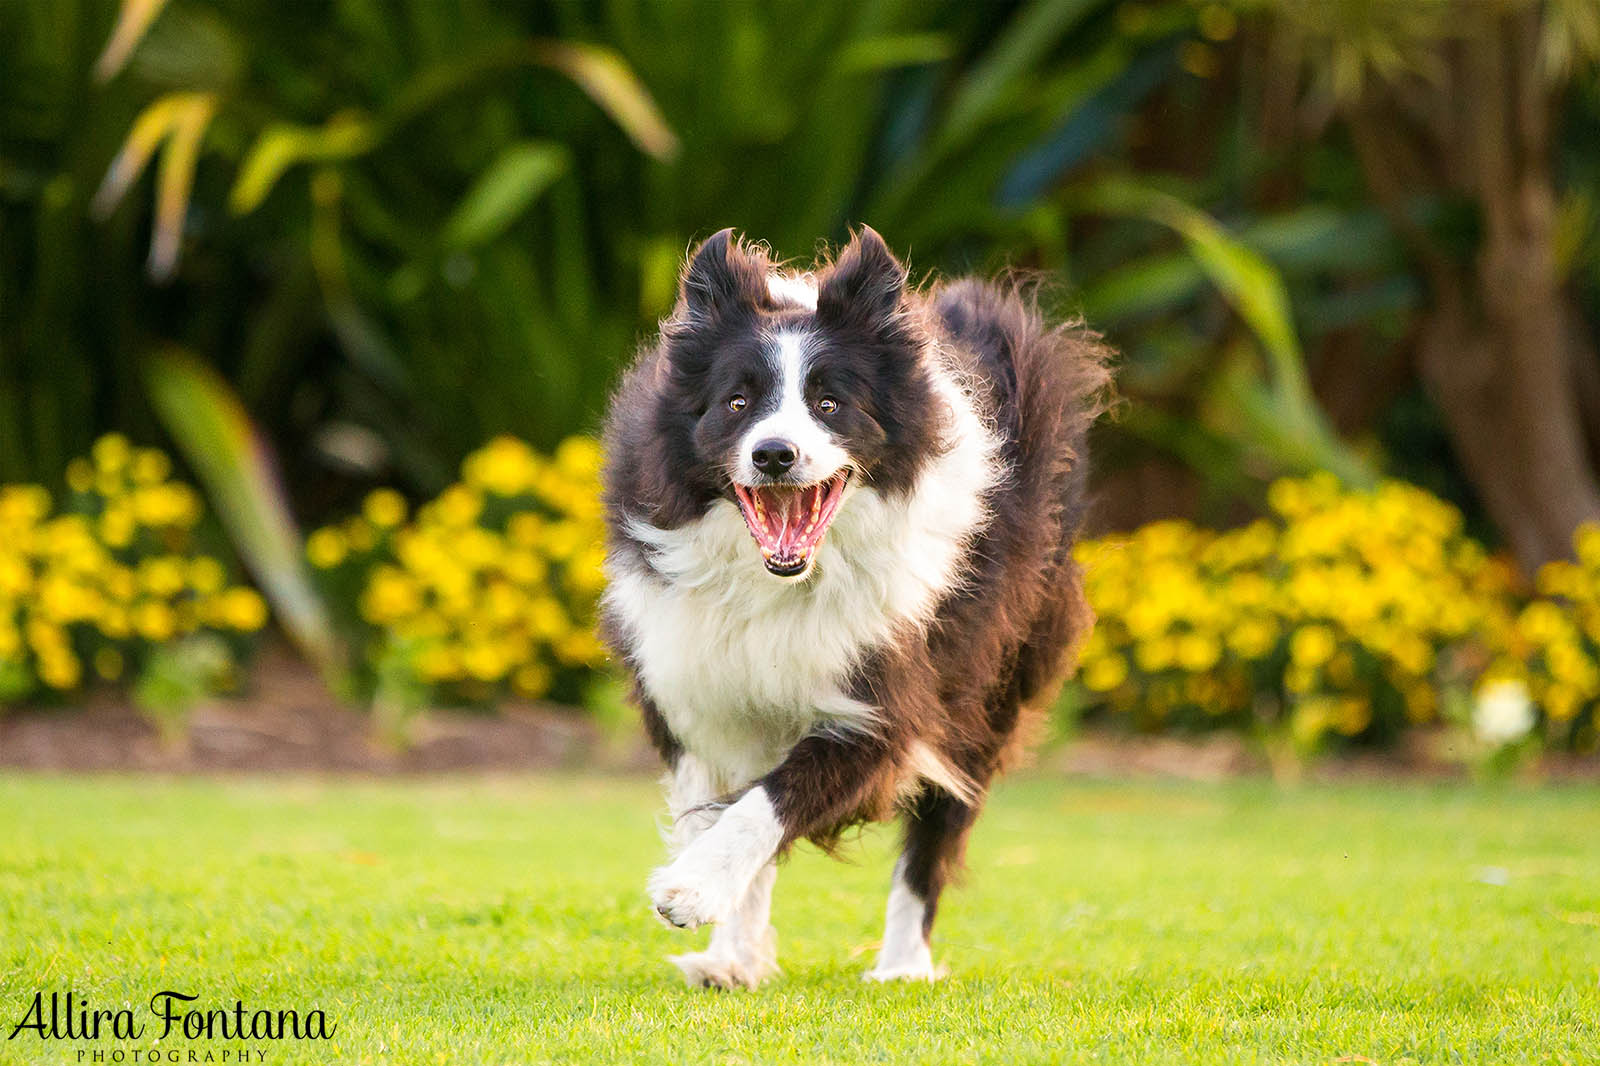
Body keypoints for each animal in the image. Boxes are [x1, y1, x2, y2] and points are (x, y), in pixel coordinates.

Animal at [601, 228, 1113, 985]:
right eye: (736, 402)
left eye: (830, 404)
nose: (774, 455)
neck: (781, 581)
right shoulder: (694, 675)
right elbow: (720, 802)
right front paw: (730, 950)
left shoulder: (889, 687)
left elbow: (769, 800)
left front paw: (689, 889)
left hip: (995, 667)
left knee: (941, 818)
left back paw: (902, 965)